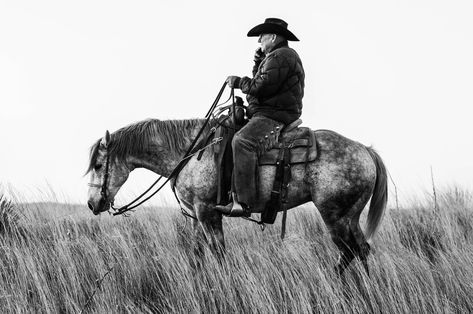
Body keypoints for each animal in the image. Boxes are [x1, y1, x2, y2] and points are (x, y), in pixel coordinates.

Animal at [86, 119, 386, 274]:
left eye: (99, 165)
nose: (91, 203)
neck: (191, 152)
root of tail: (366, 150)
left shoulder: (208, 212)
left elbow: (218, 253)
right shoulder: (195, 216)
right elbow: (197, 256)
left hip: (334, 215)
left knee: (349, 251)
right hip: (350, 216)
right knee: (361, 250)